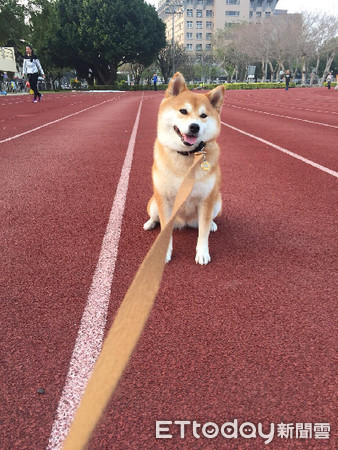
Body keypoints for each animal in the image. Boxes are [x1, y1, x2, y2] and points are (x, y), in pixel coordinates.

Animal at [143, 72, 224, 266]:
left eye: (203, 115)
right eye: (183, 111)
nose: (194, 126)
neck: (186, 157)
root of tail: (184, 223)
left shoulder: (206, 199)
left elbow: (203, 233)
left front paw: (202, 252)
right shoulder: (164, 199)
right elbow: (165, 231)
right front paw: (163, 253)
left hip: (217, 201)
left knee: (208, 222)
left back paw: (212, 224)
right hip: (154, 203)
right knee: (155, 217)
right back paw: (150, 223)